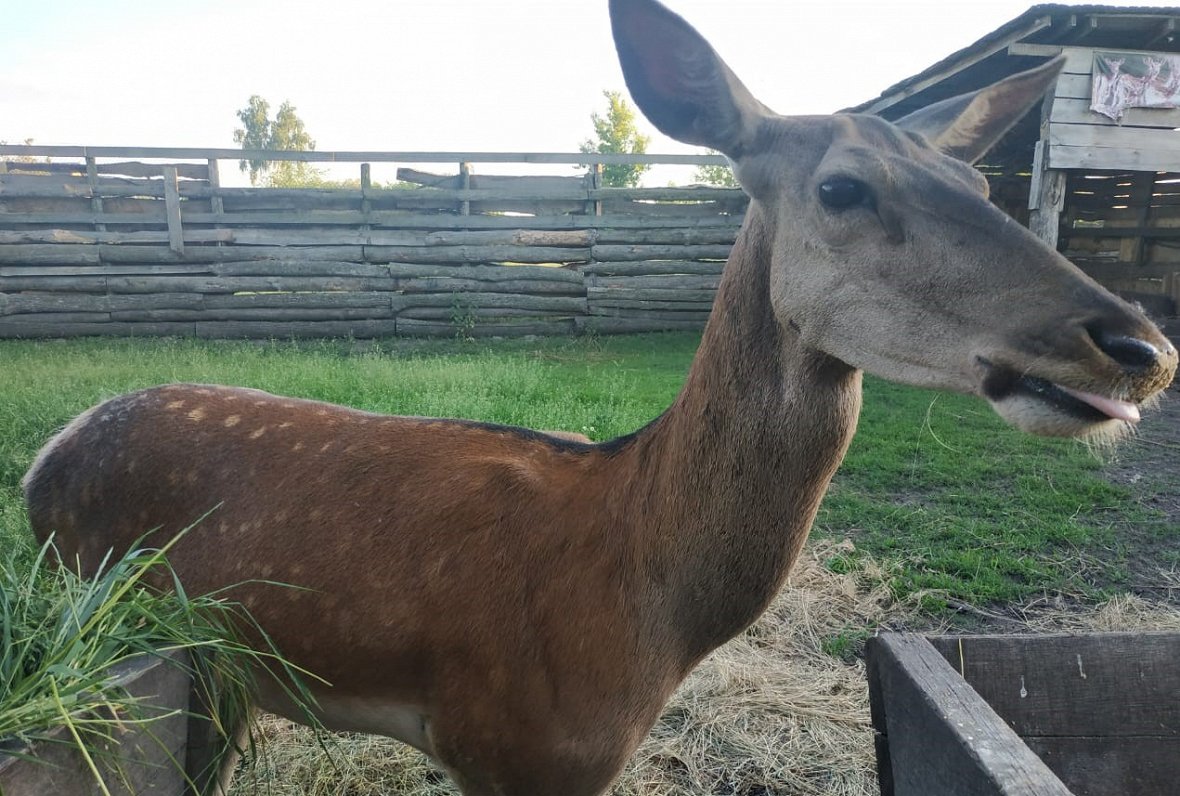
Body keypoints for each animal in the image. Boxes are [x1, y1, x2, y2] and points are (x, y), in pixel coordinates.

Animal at [20, 1, 1180, 796]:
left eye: (982, 186)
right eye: (843, 186)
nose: (1138, 347)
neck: (644, 605)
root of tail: (43, 459)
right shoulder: (502, 742)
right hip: (120, 632)